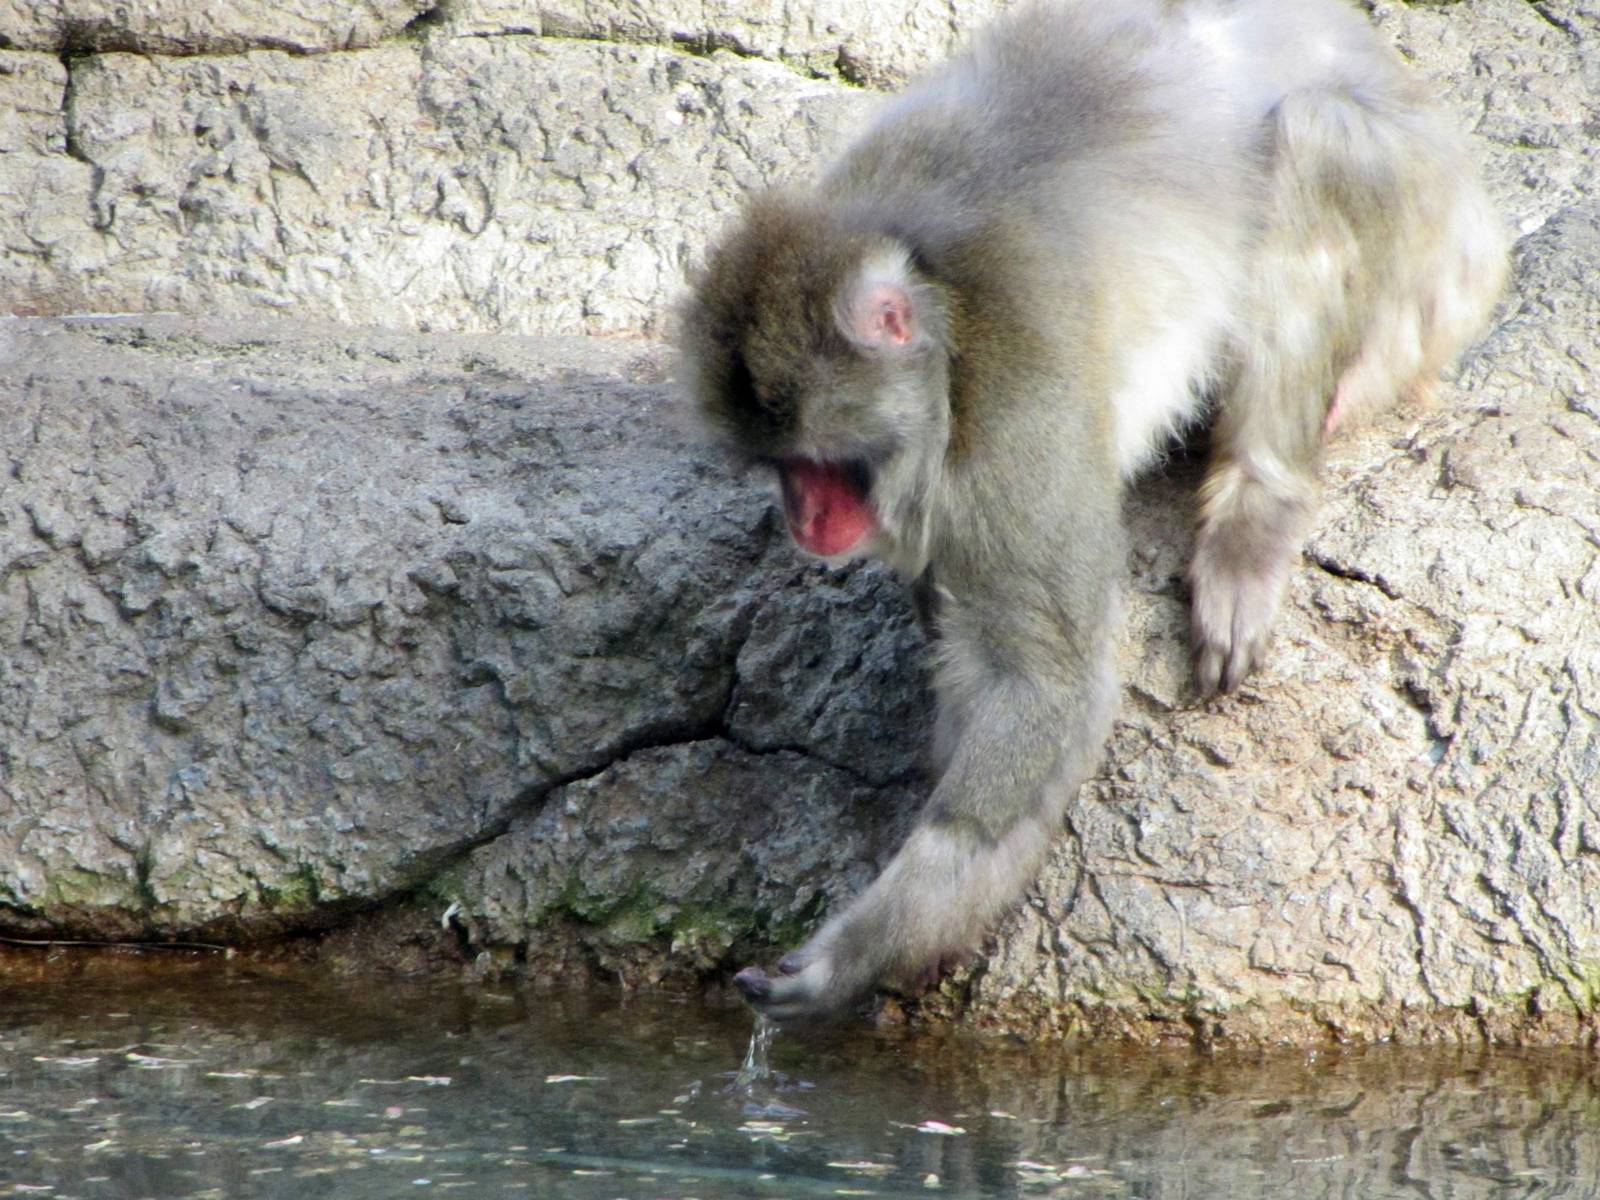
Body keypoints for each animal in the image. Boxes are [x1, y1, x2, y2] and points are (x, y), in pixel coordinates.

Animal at [676, 0, 1507, 1023]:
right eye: (782, 469)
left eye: (825, 465)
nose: (803, 520)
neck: (941, 304)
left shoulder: (1016, 420)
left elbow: (1046, 687)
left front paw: (858, 953)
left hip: (1429, 285)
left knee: (1319, 136)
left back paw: (1254, 511)